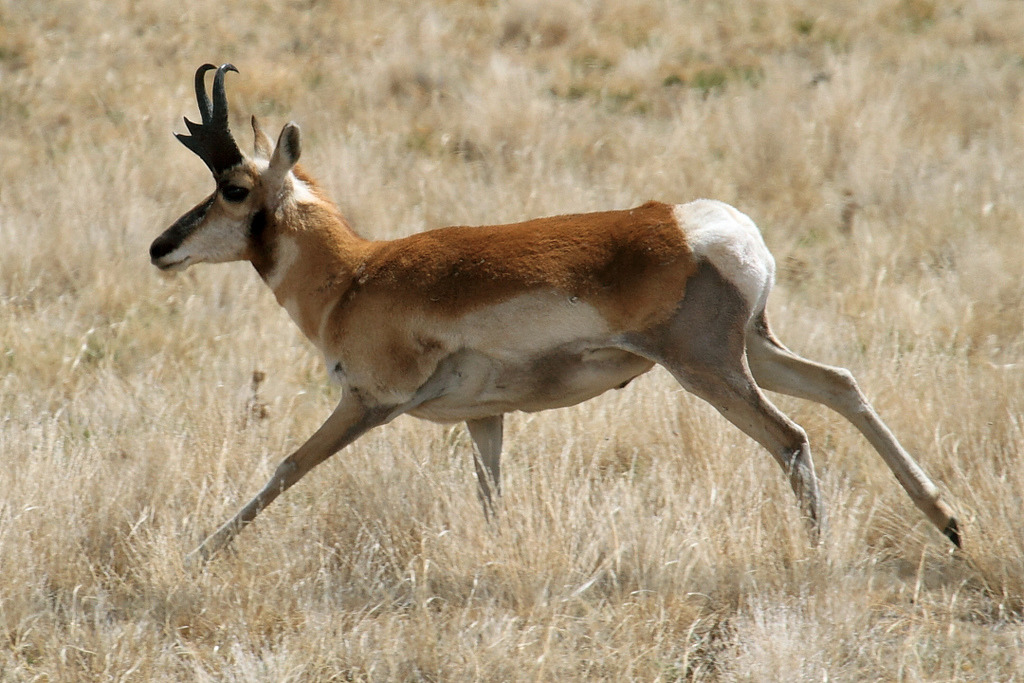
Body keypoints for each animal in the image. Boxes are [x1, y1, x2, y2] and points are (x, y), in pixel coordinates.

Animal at [149, 63, 958, 561]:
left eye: (232, 189)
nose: (160, 247)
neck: (356, 272)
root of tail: (709, 225)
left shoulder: (365, 404)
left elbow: (285, 466)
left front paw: (197, 553)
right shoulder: (484, 419)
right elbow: (490, 495)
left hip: (709, 370)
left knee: (791, 438)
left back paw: (822, 552)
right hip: (756, 352)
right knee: (841, 385)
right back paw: (947, 520)